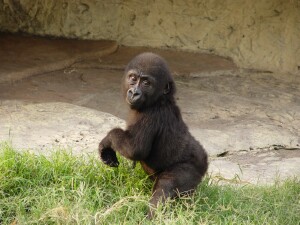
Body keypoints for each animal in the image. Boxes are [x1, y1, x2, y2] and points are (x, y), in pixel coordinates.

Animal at [99, 51, 207, 217]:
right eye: (133, 78)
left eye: (146, 83)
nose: (134, 93)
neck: (161, 98)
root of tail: (205, 160)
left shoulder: (151, 115)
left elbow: (134, 149)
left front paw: (107, 142)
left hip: (193, 167)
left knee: (166, 186)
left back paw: (152, 215)